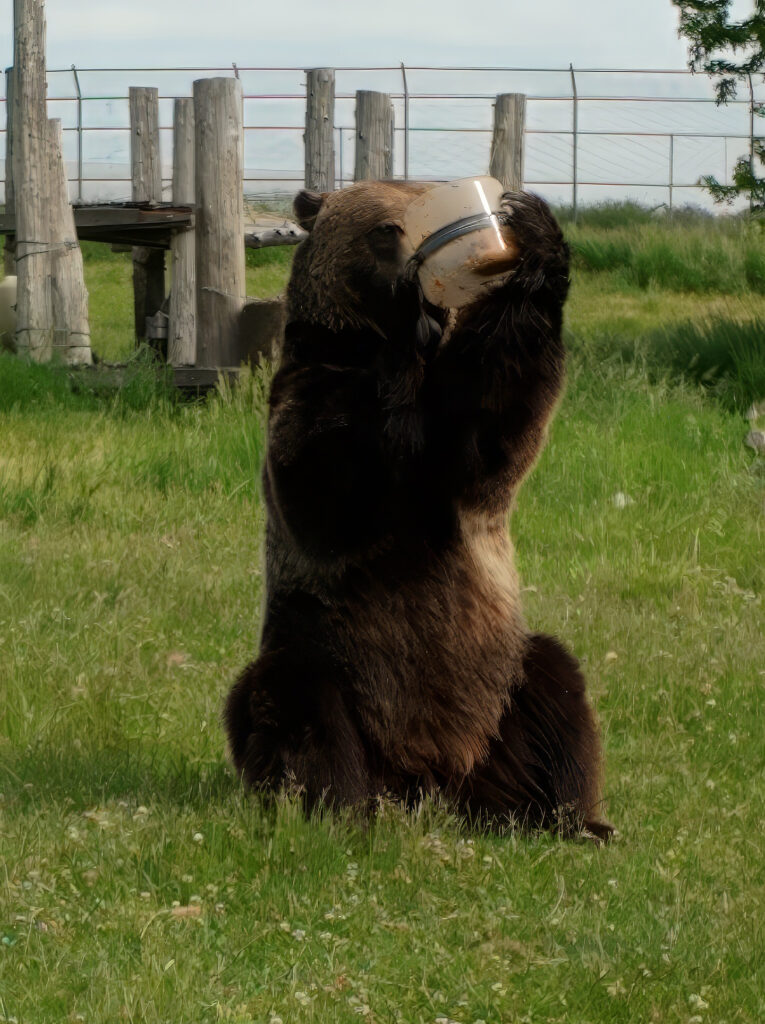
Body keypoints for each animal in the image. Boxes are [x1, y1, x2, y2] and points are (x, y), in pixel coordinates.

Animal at [225, 181, 612, 841]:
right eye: (384, 228)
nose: (417, 264)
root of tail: (429, 780)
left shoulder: (453, 458)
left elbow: (494, 425)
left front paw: (533, 236)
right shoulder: (311, 392)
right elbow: (330, 498)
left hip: (498, 685)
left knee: (554, 693)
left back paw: (563, 817)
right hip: (335, 657)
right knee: (297, 705)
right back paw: (341, 808)